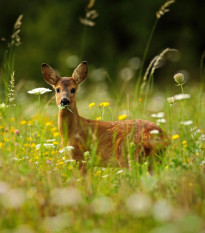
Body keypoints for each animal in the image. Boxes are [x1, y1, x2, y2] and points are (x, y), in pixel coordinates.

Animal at [41, 61, 170, 168]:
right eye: (57, 89)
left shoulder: (80, 157)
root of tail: (160, 135)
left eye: (73, 89)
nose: (64, 101)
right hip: (154, 159)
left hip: (127, 155)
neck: (71, 132)